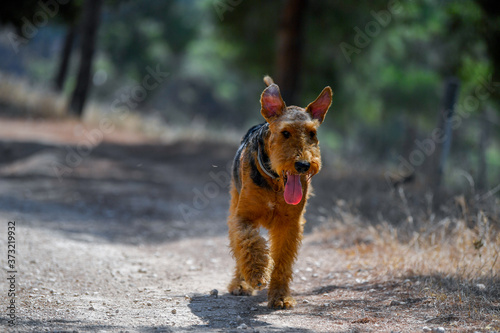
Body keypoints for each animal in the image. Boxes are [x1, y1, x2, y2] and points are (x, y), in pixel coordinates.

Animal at [228, 76, 332, 308]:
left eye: (312, 133)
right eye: (285, 133)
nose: (303, 165)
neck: (275, 182)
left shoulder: (290, 224)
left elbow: (282, 262)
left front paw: (280, 296)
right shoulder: (243, 216)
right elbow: (248, 243)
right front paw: (257, 274)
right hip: (234, 203)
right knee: (238, 249)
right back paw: (240, 283)